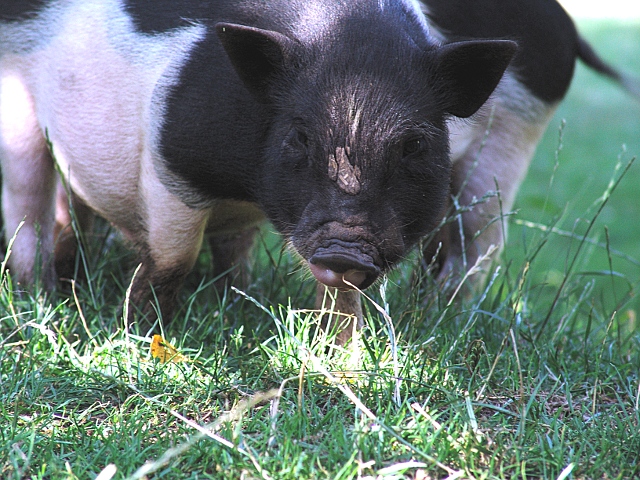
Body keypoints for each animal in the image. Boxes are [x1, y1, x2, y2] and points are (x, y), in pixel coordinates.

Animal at [0, 0, 631, 343]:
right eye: (299, 137)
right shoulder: (171, 161)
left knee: (475, 246)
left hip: (510, 141)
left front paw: (338, 345)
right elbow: (174, 257)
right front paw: (144, 334)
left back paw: (438, 319)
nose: (346, 247)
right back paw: (41, 297)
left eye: (416, 145)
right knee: (31, 205)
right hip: (18, 108)